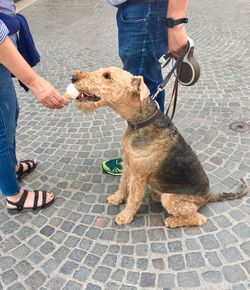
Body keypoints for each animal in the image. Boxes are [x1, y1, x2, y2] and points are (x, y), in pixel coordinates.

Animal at [66, 67, 248, 228]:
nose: (73, 77)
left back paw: (172, 221)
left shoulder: (139, 175)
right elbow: (123, 185)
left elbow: (133, 198)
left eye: (107, 76)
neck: (141, 122)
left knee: (198, 217)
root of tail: (208, 194)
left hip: (172, 198)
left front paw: (125, 216)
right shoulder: (128, 165)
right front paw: (116, 198)